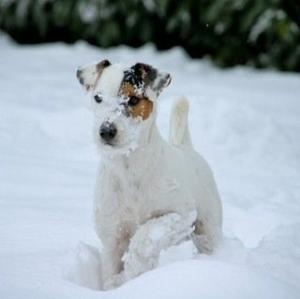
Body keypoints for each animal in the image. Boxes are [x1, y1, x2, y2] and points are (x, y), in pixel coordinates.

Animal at [77, 61, 223, 290]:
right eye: (98, 98)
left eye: (133, 99)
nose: (106, 131)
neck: (129, 167)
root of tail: (185, 147)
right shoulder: (112, 235)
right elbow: (110, 270)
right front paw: (116, 285)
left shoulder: (181, 214)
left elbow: (145, 236)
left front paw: (132, 272)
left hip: (208, 226)